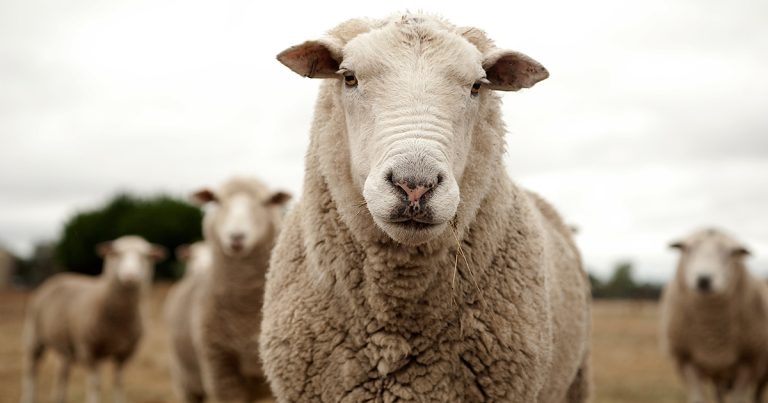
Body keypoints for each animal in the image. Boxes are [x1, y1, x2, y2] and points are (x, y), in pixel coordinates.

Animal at [20, 235, 165, 403]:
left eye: (146, 256)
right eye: (116, 254)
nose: (130, 276)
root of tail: (59, 276)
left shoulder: (124, 353)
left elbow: (119, 382)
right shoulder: (88, 349)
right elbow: (95, 384)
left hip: (64, 346)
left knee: (62, 372)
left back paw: (59, 398)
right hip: (33, 336)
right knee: (31, 371)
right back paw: (29, 397)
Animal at [661, 228, 768, 403]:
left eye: (731, 253)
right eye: (688, 249)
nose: (704, 279)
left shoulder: (748, 362)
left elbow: (738, 399)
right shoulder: (687, 361)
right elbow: (697, 398)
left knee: (757, 395)